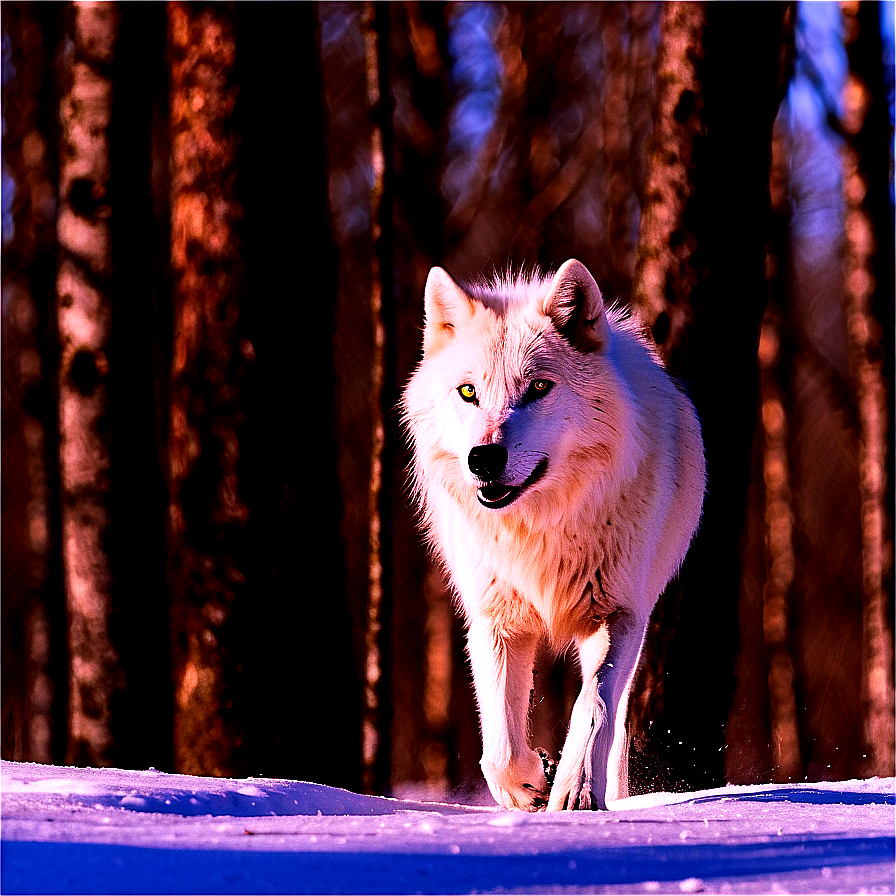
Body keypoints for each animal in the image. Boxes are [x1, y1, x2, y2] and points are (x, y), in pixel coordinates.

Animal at [402, 260, 704, 812]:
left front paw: (575, 788)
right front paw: (526, 787)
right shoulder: (495, 620)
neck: (540, 528)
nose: (484, 459)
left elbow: (595, 703)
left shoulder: (619, 614)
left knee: (615, 716)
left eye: (539, 388)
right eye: (468, 392)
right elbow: (499, 744)